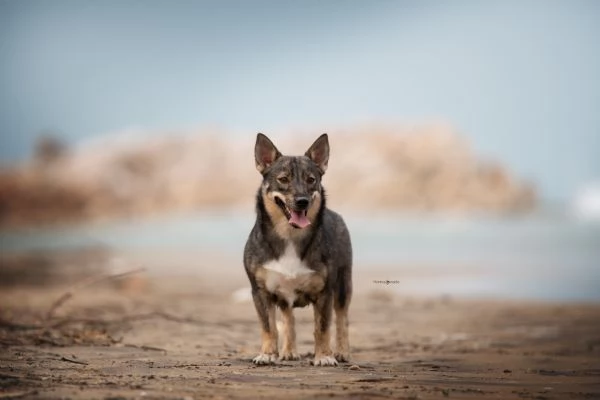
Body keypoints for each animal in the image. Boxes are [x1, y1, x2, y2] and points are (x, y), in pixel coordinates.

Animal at [241, 134, 352, 366]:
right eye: (283, 179)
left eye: (311, 180)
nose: (302, 201)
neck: (290, 236)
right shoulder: (260, 292)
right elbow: (269, 327)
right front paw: (267, 354)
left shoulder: (325, 293)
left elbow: (322, 328)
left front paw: (324, 356)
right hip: (285, 297)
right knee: (288, 319)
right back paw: (289, 351)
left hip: (343, 286)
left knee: (342, 319)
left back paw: (342, 351)